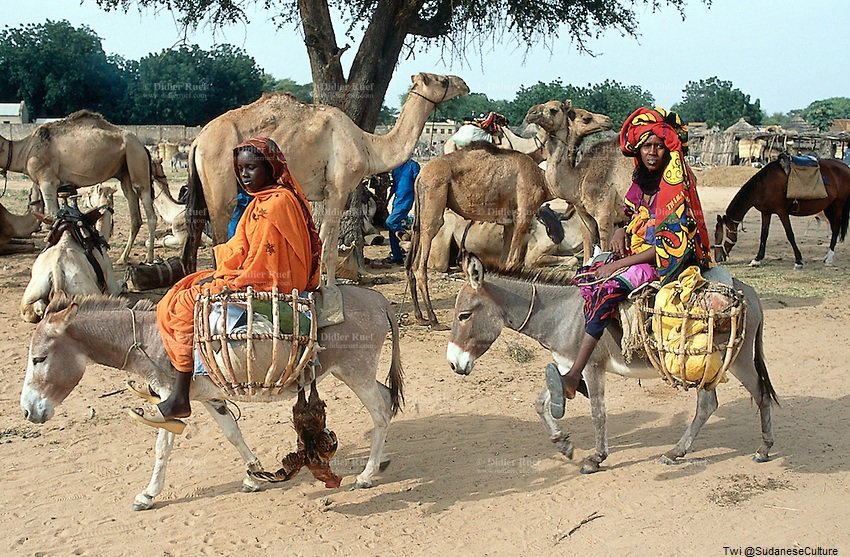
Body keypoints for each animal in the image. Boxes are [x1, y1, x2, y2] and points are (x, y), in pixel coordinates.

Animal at [0, 111, 157, 264]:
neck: (24, 151)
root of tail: (143, 146)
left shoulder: (47, 181)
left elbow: (52, 216)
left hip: (136, 157)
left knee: (149, 209)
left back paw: (149, 258)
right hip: (125, 173)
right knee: (134, 214)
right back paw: (122, 258)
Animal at [181, 73, 468, 282]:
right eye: (441, 80)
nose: (463, 83)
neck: (367, 144)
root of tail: (197, 141)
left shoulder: (326, 193)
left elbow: (321, 243)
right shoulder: (338, 189)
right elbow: (329, 248)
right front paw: (330, 289)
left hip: (203, 185)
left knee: (193, 236)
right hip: (221, 186)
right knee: (220, 240)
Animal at [520, 100, 628, 260]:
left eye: (553, 110)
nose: (530, 113)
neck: (579, 179)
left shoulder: (605, 215)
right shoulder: (585, 218)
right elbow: (588, 254)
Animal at [712, 157, 848, 268]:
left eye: (717, 235)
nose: (717, 258)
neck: (764, 185)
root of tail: (846, 167)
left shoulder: (782, 212)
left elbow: (790, 234)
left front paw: (798, 260)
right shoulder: (766, 212)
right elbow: (764, 235)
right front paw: (757, 259)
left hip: (837, 206)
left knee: (835, 229)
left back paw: (829, 258)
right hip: (829, 207)